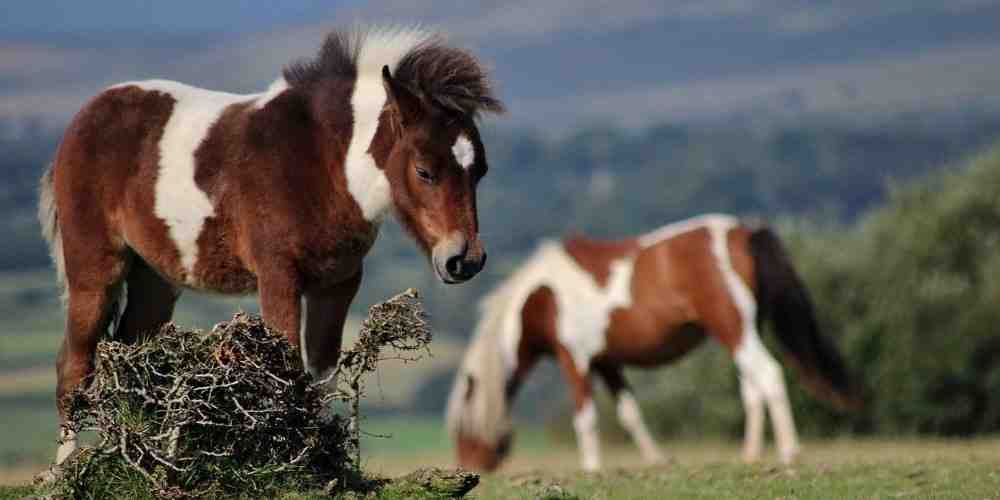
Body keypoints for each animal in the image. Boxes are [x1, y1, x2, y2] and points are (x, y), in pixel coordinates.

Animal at [39, 26, 504, 464]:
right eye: (424, 171)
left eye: (481, 170)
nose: (465, 259)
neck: (323, 163)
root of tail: (83, 119)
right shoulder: (279, 276)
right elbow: (287, 369)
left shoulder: (337, 283)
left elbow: (321, 375)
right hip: (95, 270)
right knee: (74, 366)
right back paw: (66, 470)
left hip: (155, 279)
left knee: (133, 356)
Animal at [446, 215, 860, 472]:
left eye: (462, 427)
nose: (471, 467)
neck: (542, 296)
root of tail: (744, 233)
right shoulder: (607, 361)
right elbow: (630, 413)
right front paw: (658, 460)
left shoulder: (574, 359)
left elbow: (586, 418)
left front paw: (591, 469)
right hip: (742, 332)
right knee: (752, 387)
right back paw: (751, 455)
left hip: (734, 329)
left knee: (770, 375)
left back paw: (789, 451)